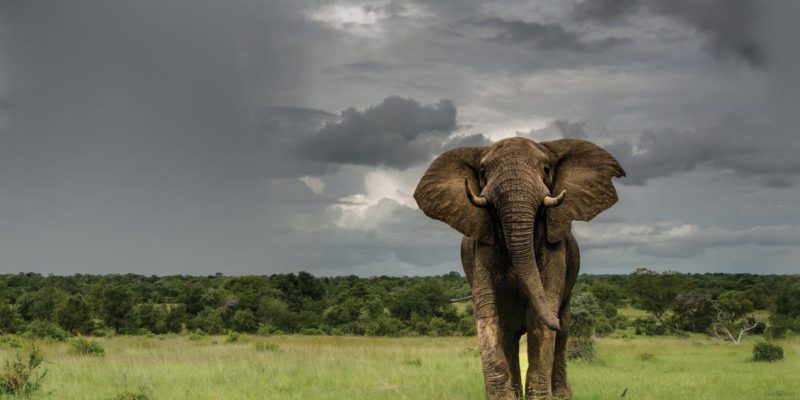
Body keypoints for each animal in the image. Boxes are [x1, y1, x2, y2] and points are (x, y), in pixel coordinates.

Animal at [413, 136, 624, 399]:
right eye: (482, 172)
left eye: (546, 169)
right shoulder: (481, 248)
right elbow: (488, 313)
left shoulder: (556, 249)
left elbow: (541, 318)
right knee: (510, 335)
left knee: (562, 331)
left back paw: (561, 393)